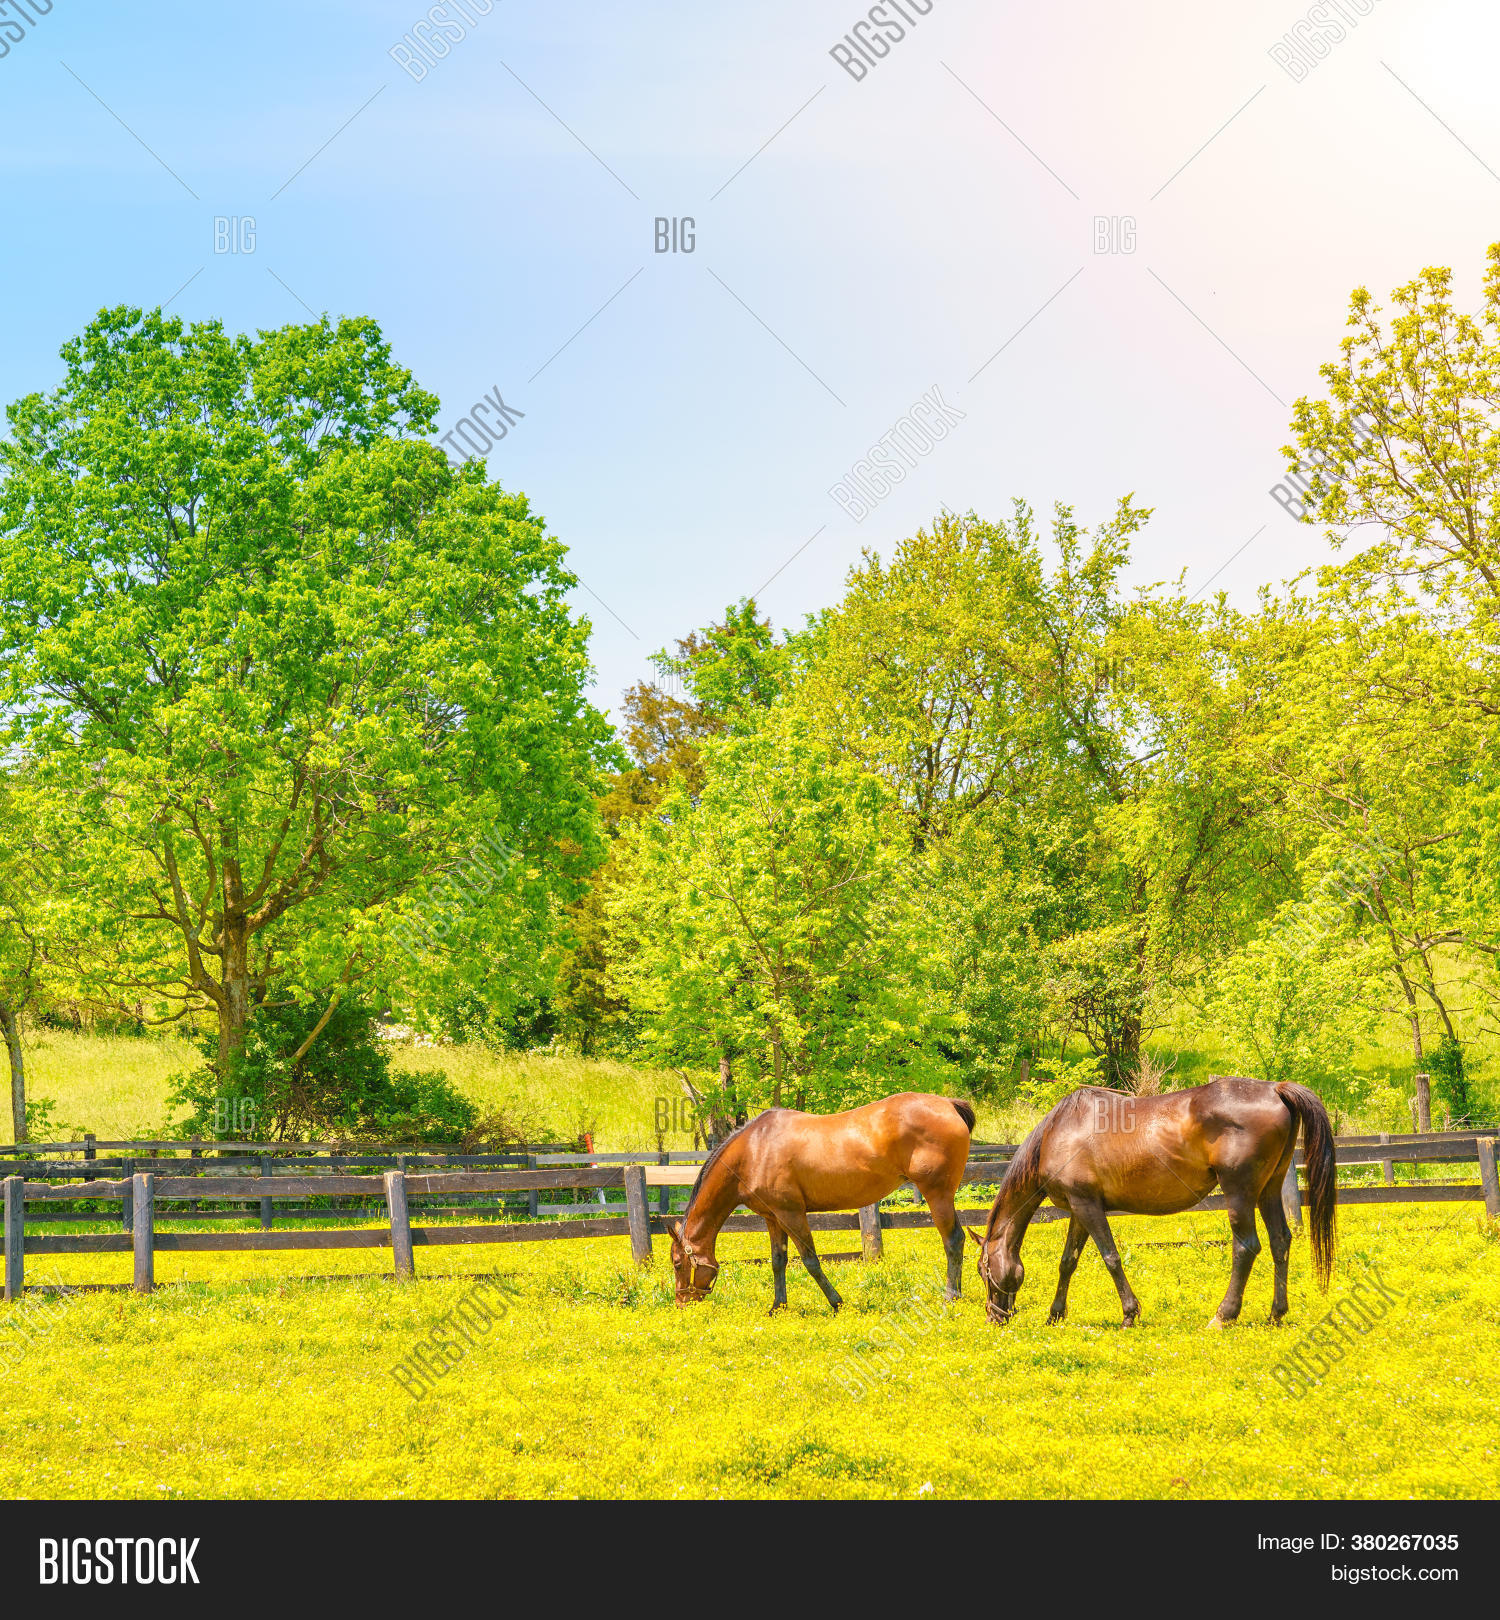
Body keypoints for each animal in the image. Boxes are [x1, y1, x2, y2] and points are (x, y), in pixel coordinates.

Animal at [663, 1093, 976, 1312]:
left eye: (678, 1264)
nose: (681, 1304)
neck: (753, 1149)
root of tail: (949, 1104)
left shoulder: (791, 1214)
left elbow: (810, 1261)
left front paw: (837, 1302)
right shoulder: (773, 1217)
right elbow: (778, 1261)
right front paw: (777, 1307)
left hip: (937, 1194)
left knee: (953, 1240)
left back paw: (951, 1297)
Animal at [969, 1077, 1336, 1329]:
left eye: (983, 1270)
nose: (994, 1317)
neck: (1058, 1132)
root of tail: (1275, 1088)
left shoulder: (1087, 1207)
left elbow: (1110, 1257)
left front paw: (1129, 1314)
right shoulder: (1080, 1207)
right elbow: (1068, 1262)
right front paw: (1055, 1315)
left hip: (1240, 1194)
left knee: (1246, 1247)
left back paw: (1223, 1316)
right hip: (1268, 1191)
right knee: (1280, 1242)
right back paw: (1276, 1314)